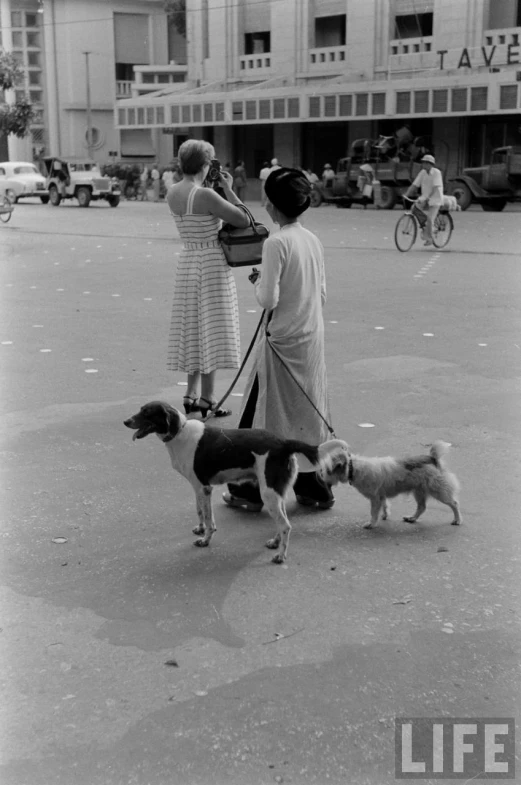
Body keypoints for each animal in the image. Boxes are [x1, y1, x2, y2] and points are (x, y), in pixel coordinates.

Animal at [123, 402, 348, 560]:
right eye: (141, 410)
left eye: (147, 413)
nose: (126, 422)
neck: (180, 432)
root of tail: (283, 443)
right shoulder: (198, 487)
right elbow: (200, 511)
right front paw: (200, 529)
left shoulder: (204, 488)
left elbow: (208, 517)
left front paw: (205, 539)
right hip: (275, 492)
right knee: (283, 520)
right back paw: (275, 543)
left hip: (268, 493)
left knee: (285, 525)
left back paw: (281, 556)